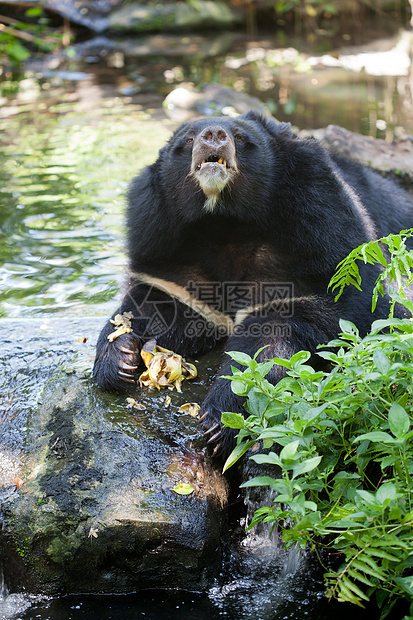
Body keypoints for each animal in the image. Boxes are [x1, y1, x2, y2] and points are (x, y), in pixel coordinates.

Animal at [92, 109, 412, 452]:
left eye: (240, 137)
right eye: (188, 139)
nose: (213, 135)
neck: (223, 224)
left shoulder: (316, 241)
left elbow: (269, 340)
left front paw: (220, 422)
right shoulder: (164, 245)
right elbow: (159, 301)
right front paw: (119, 358)